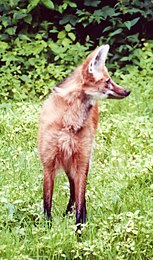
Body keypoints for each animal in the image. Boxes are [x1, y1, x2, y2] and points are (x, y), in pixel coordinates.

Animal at [38, 45, 130, 229]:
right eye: (108, 81)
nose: (127, 91)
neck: (69, 122)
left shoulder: (81, 160)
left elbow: (80, 200)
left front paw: (80, 229)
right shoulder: (49, 162)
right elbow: (47, 202)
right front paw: (47, 227)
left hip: (81, 157)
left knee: (77, 190)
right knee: (72, 187)